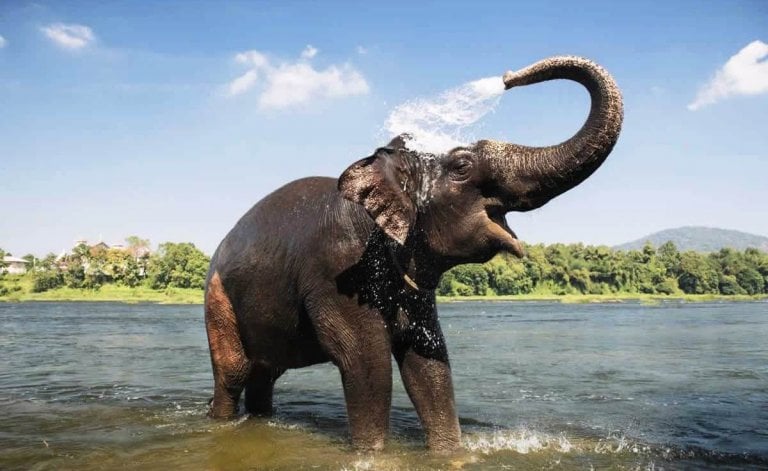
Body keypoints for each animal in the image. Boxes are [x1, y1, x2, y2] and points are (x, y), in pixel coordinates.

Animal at [206, 55, 624, 454]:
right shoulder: (337, 269)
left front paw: (450, 453)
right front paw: (373, 455)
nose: (507, 77)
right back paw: (221, 421)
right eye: (462, 166)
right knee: (234, 373)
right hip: (217, 299)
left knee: (265, 374)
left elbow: (427, 360)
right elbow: (366, 362)